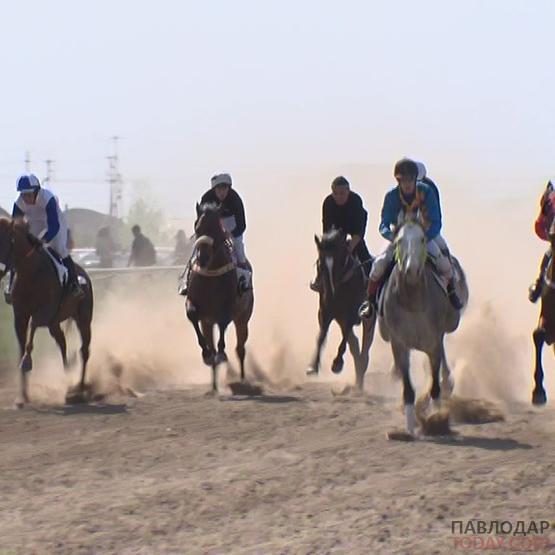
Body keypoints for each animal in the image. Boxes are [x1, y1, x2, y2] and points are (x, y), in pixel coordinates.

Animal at [0, 218, 93, 408]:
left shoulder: (44, 312)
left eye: (4, 242)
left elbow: (33, 327)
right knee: (63, 343)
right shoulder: (20, 317)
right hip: (54, 323)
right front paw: (22, 397)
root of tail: (85, 276)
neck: (31, 273)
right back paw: (67, 376)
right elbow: (21, 346)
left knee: (84, 351)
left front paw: (27, 362)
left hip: (84, 319)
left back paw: (80, 391)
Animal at [187, 202, 256, 394]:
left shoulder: (228, 307)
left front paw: (221, 353)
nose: (203, 258)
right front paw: (206, 354)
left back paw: (242, 380)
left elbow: (224, 322)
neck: (210, 273)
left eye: (215, 229)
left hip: (243, 318)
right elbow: (192, 315)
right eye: (197, 227)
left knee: (240, 348)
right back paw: (213, 385)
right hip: (208, 322)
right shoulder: (197, 308)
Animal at [308, 230, 378, 390]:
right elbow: (321, 336)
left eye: (340, 262)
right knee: (355, 346)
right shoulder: (326, 312)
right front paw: (313, 367)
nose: (331, 294)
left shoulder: (353, 314)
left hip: (369, 319)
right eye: (320, 264)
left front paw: (337, 364)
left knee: (364, 349)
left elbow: (345, 335)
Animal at [380, 219, 466, 436]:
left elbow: (435, 386)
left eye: (422, 239)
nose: (411, 270)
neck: (413, 301)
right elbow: (408, 388)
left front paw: (437, 419)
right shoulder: (399, 343)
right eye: (399, 240)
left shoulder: (433, 342)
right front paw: (410, 426)